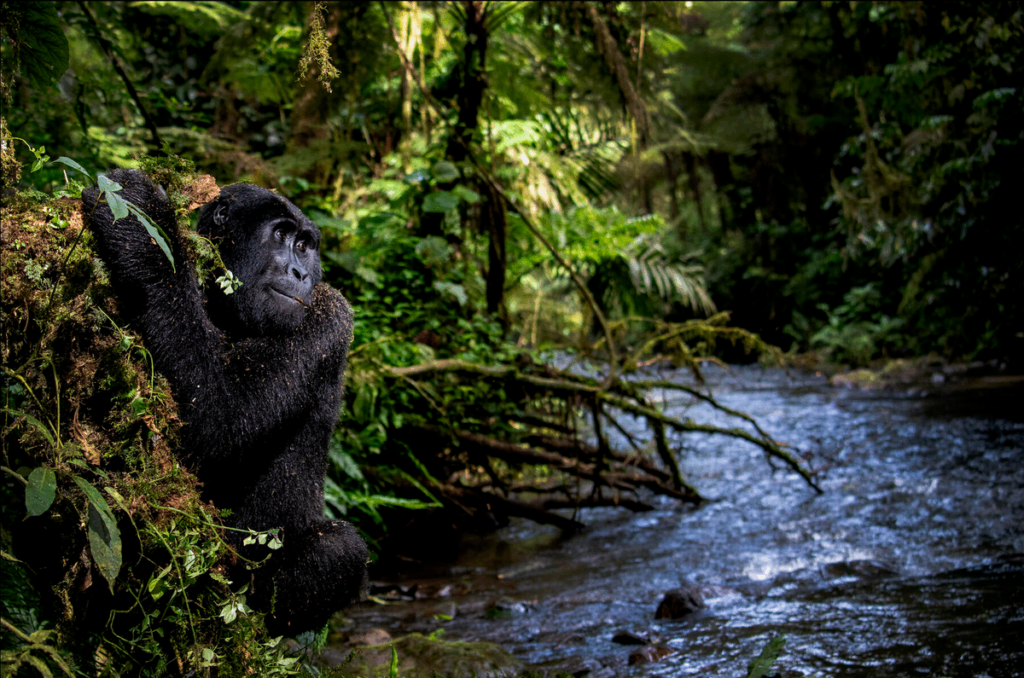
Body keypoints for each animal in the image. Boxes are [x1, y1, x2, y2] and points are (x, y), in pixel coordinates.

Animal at [81, 170, 368, 639]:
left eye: (306, 245)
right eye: (282, 236)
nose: (300, 272)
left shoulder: (329, 312)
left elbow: (220, 420)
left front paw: (142, 226)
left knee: (341, 549)